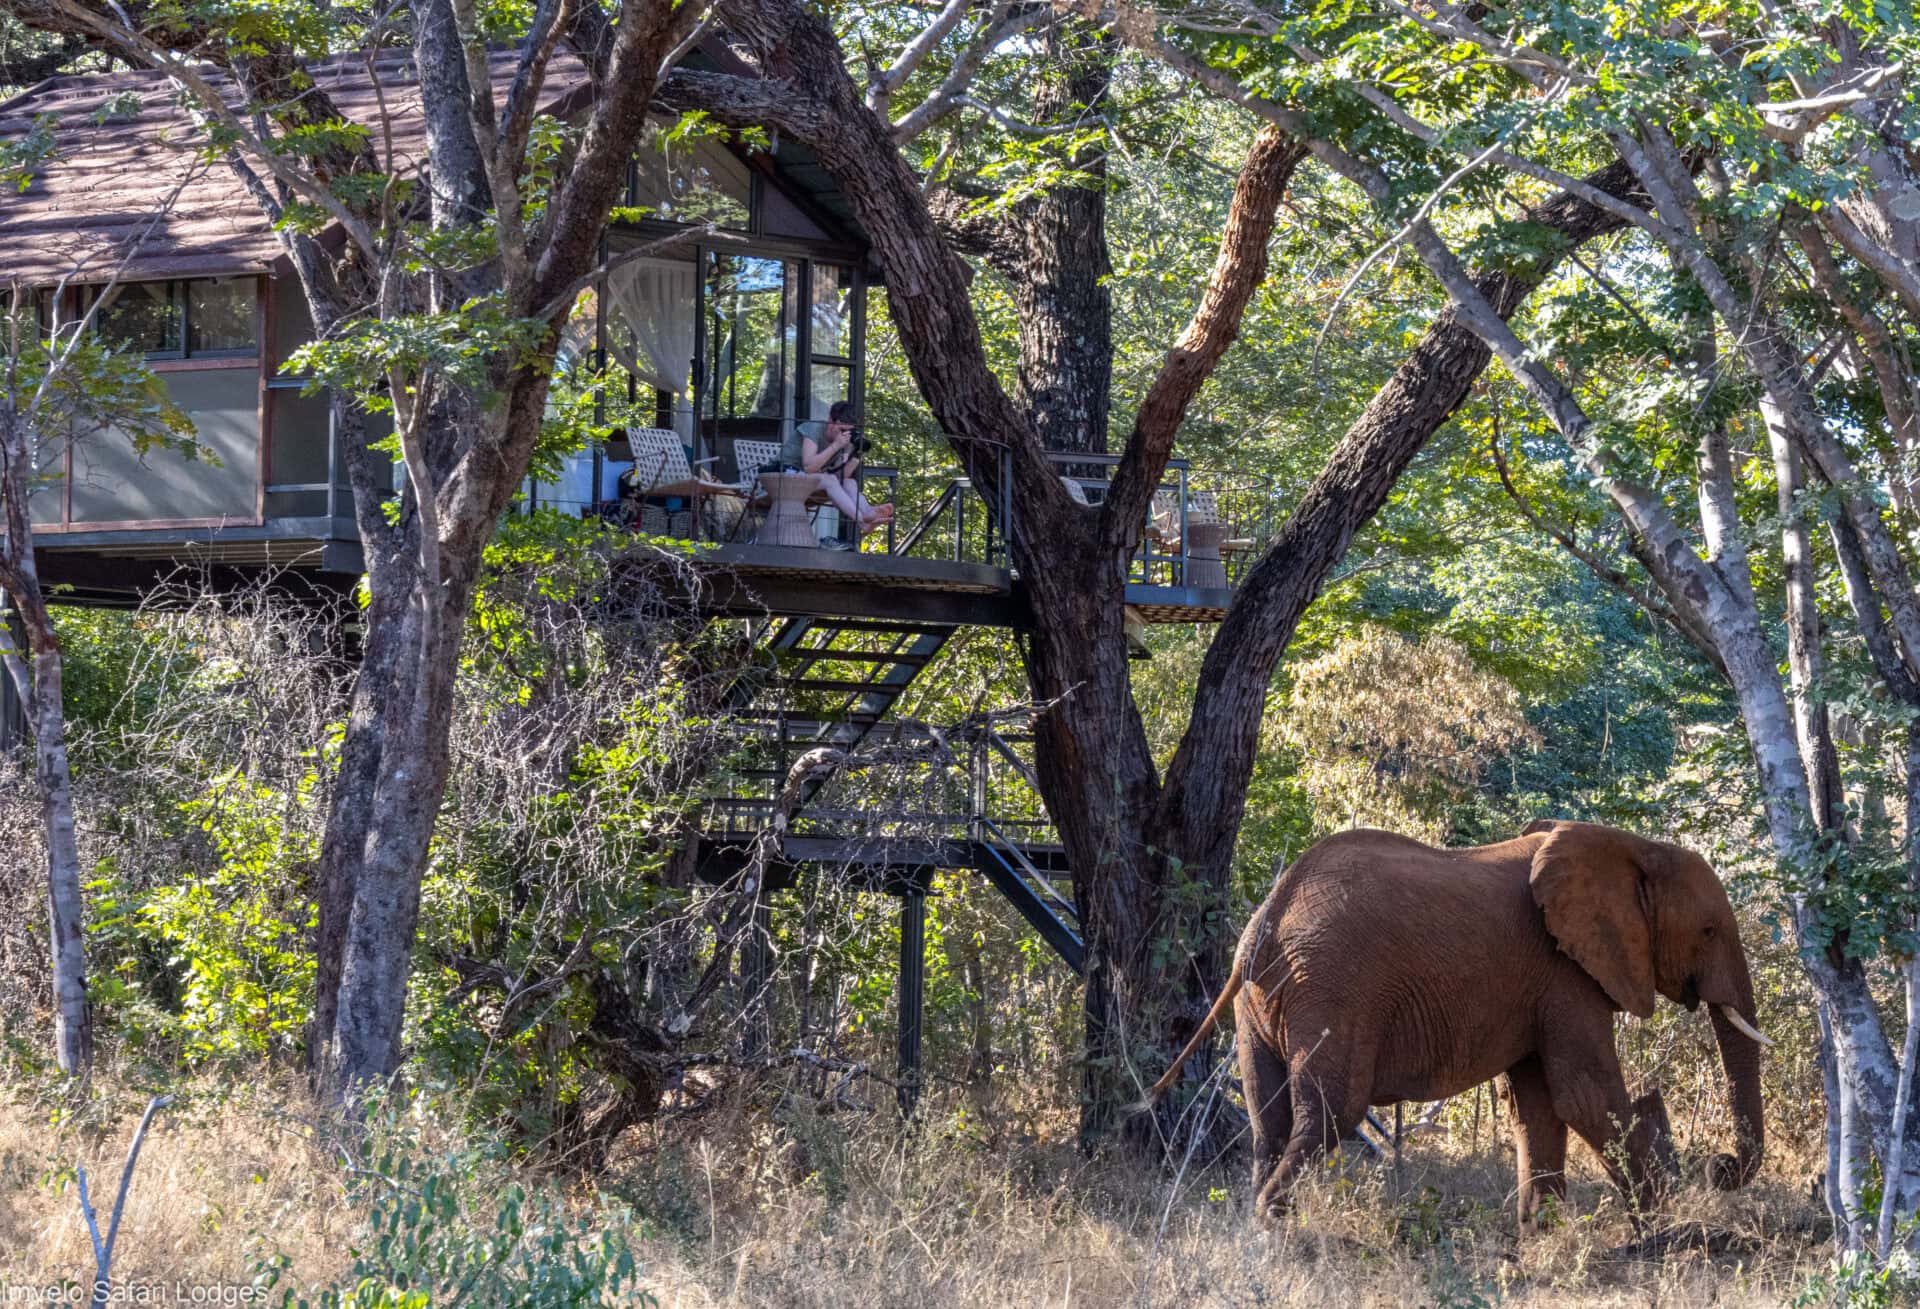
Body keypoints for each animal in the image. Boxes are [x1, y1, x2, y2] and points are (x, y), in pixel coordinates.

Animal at [1136, 819, 1768, 1224]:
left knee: (1269, 1117)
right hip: (1333, 988)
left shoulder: (1539, 982)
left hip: (1260, 1004)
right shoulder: (1565, 972)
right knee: (1329, 1114)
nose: (1720, 1167)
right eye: (1709, 930)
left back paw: (1255, 1227)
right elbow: (1584, 1095)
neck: (1632, 847)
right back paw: (1277, 1231)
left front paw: (1540, 1238)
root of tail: (1271, 912)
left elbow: (1539, 1105)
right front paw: (1666, 1225)